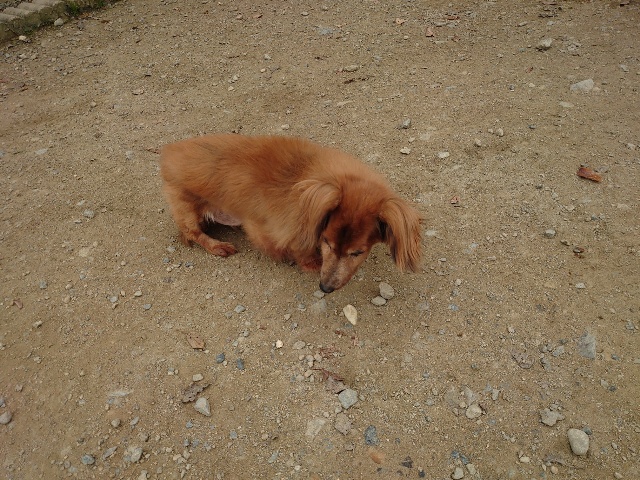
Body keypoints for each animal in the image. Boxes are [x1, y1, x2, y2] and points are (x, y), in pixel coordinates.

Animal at [160, 134, 422, 293]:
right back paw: (217, 246)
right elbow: (297, 249)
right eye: (326, 242)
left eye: (357, 252)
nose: (325, 288)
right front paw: (309, 262)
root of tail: (167, 154)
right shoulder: (270, 227)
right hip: (187, 208)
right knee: (192, 233)